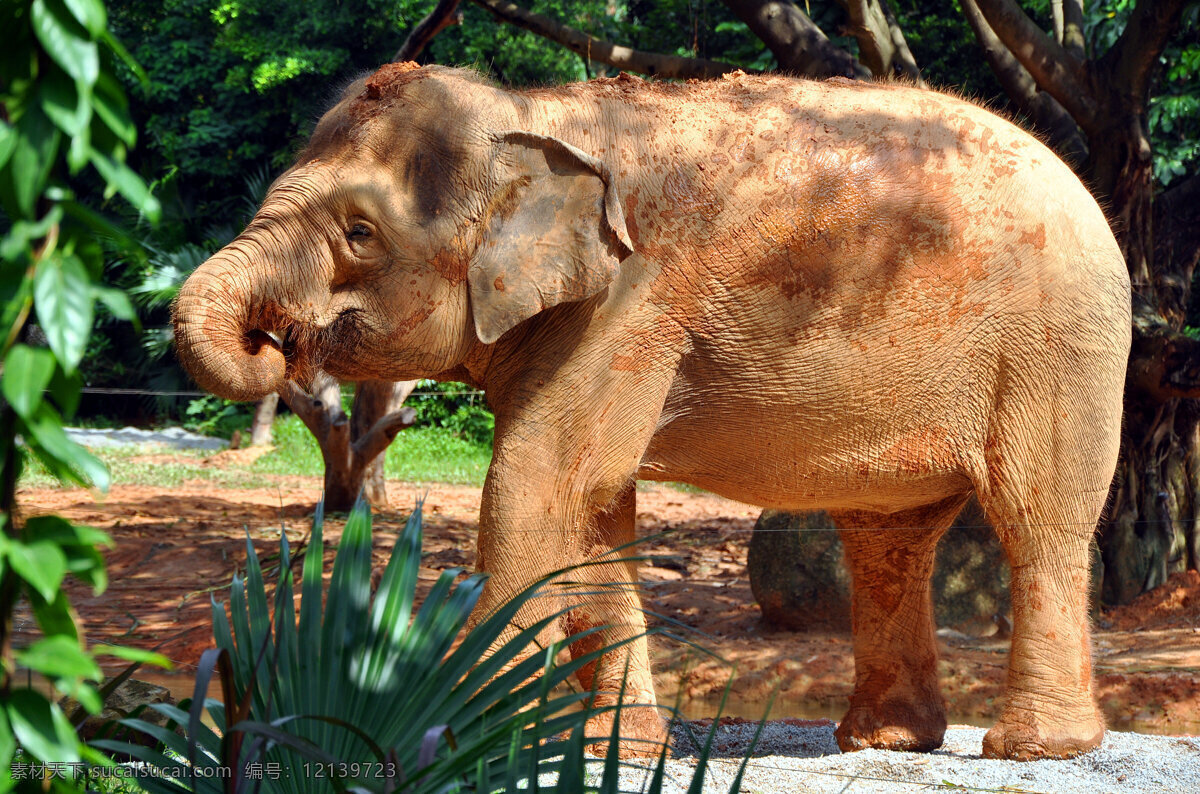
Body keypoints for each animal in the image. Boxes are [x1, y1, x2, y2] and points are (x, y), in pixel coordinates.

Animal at [172, 62, 1131, 761]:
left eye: (360, 233)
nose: (278, 342)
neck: (534, 111)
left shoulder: (631, 305)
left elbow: (536, 492)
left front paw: (430, 741)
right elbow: (595, 515)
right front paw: (620, 754)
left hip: (1058, 347)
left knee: (1037, 520)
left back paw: (1034, 752)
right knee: (888, 541)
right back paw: (887, 741)